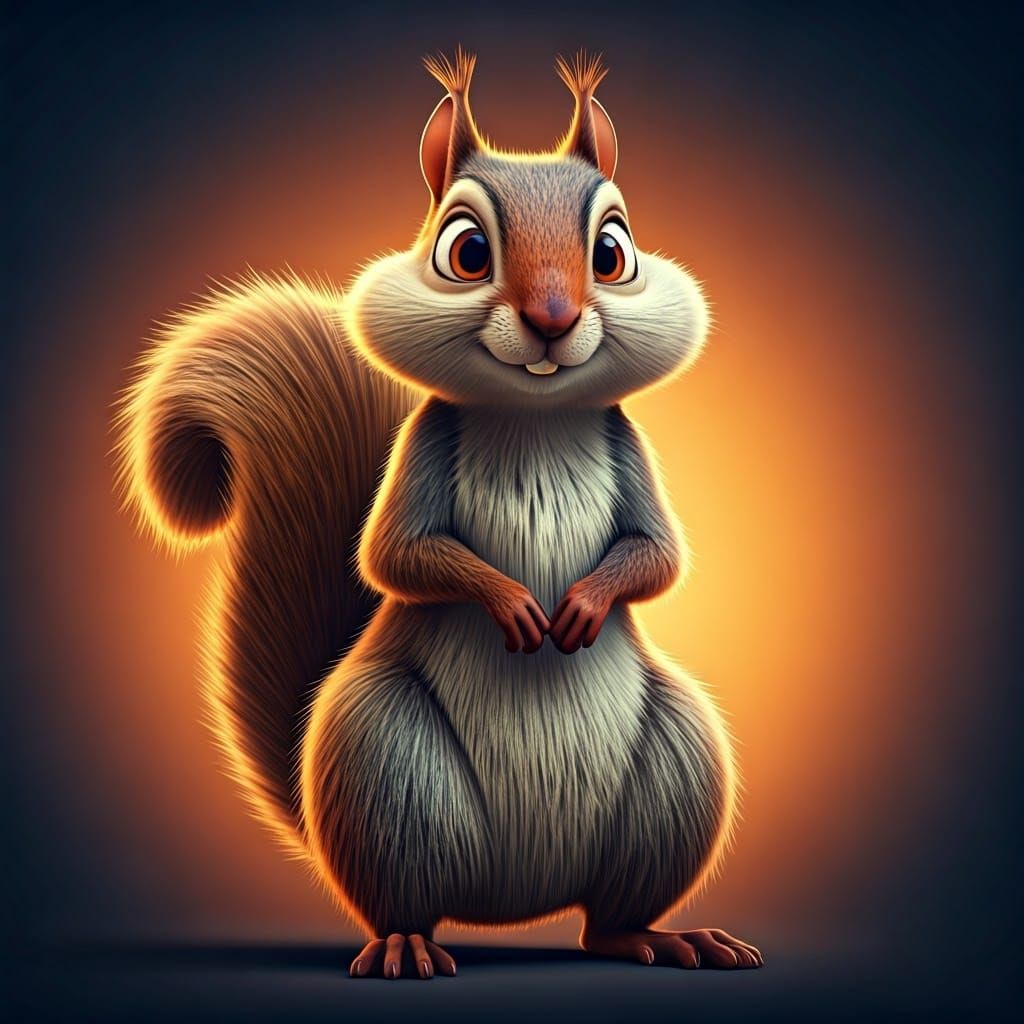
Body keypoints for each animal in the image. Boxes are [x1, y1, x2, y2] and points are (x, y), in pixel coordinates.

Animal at [114, 50, 762, 979]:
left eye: (613, 252)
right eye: (465, 250)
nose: (554, 318)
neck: (533, 419)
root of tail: (519, 904)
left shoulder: (629, 447)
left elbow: (658, 554)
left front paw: (583, 604)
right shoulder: (426, 446)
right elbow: (395, 555)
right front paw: (514, 603)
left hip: (676, 774)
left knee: (607, 919)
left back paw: (666, 936)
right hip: (387, 768)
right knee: (405, 899)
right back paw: (405, 946)